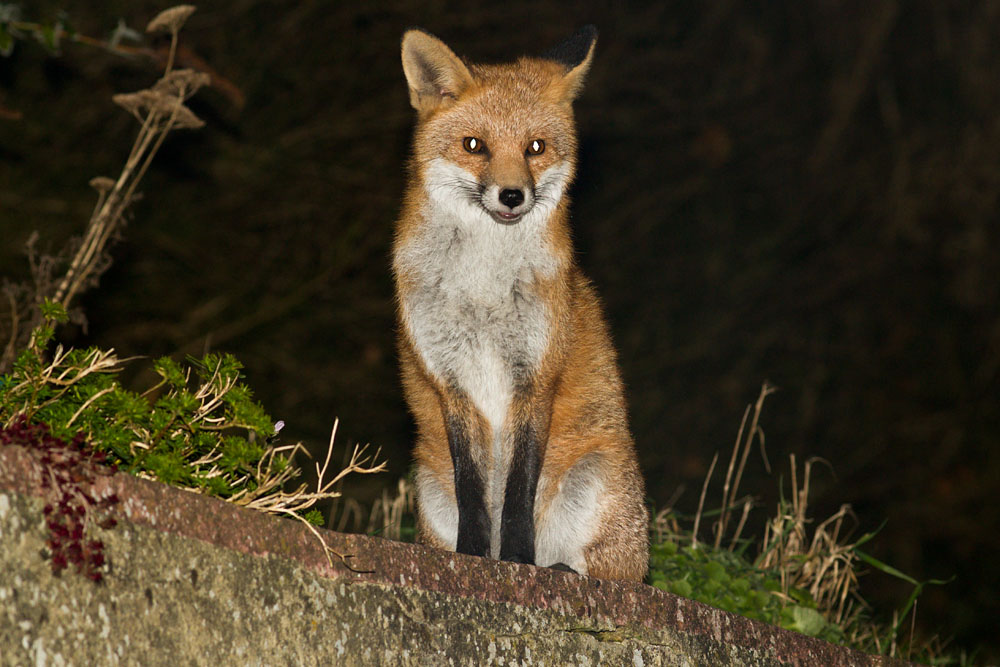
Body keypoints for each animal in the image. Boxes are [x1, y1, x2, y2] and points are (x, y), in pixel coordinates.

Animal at [393, 25, 648, 581]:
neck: (483, 287)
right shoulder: (450, 378)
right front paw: (473, 555)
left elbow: (517, 491)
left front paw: (514, 559)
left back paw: (561, 570)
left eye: (536, 147)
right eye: (474, 146)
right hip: (428, 486)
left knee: (606, 569)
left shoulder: (536, 372)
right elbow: (473, 488)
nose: (512, 196)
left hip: (594, 484)